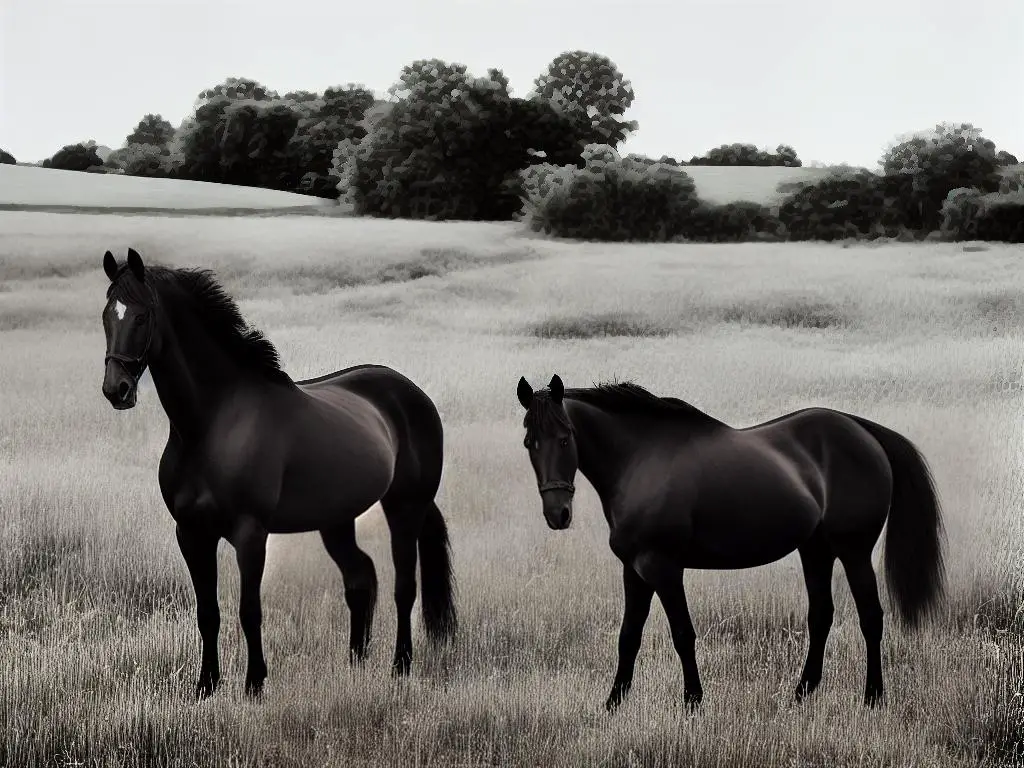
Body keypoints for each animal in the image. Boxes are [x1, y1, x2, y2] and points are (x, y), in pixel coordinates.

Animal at [516, 376, 946, 712]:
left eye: (565, 438)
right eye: (529, 442)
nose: (557, 514)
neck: (640, 461)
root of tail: (863, 430)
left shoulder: (663, 568)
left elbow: (683, 635)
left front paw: (693, 703)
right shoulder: (634, 570)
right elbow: (629, 637)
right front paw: (612, 705)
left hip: (854, 551)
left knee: (871, 617)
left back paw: (872, 697)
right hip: (815, 549)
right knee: (821, 616)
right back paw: (801, 694)